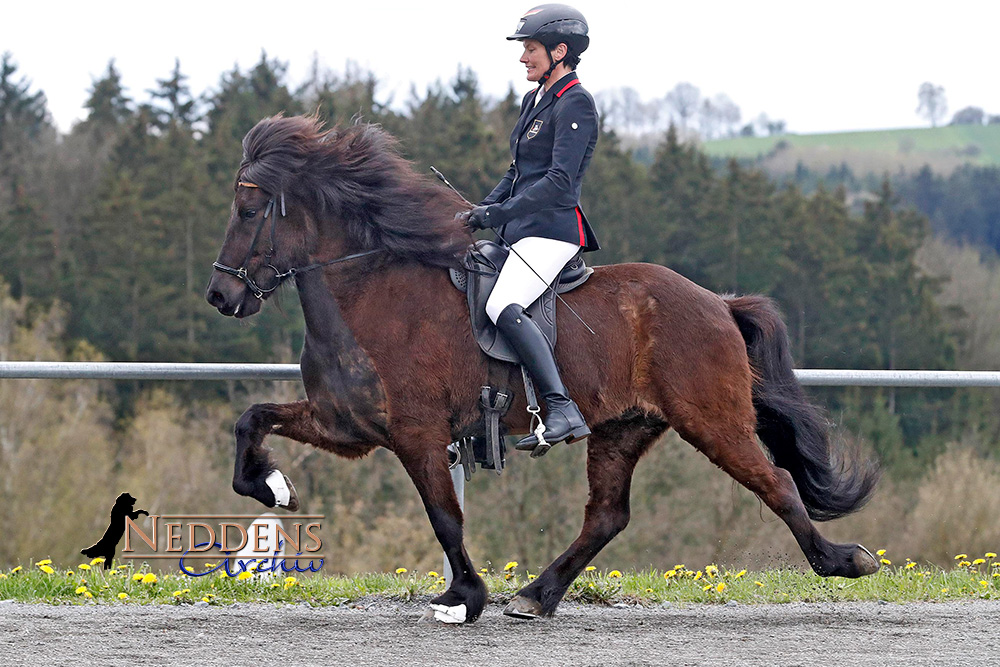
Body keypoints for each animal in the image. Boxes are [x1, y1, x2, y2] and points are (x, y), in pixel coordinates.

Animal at [207, 116, 880, 628]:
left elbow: (444, 516)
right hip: (622, 428)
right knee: (607, 515)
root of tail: (718, 302)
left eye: (248, 208)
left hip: (713, 421)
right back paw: (537, 595)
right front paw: (274, 488)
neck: (369, 289)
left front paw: (464, 599)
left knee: (777, 484)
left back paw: (844, 561)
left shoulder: (416, 434)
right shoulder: (344, 425)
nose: (220, 296)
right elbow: (250, 421)